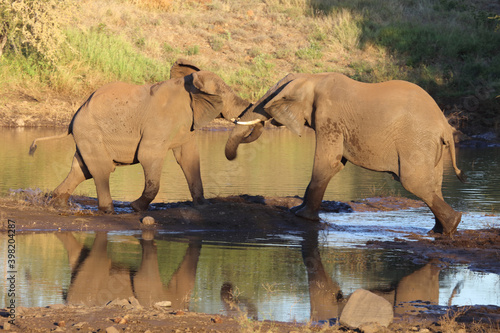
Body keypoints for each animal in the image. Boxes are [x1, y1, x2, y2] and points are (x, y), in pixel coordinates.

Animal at [28, 59, 250, 213]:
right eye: (225, 95)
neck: (189, 84)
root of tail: (74, 117)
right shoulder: (161, 122)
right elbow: (148, 155)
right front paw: (136, 208)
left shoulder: (187, 123)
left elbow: (188, 158)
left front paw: (202, 206)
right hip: (89, 131)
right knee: (101, 169)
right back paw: (108, 211)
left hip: (87, 135)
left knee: (82, 169)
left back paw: (57, 202)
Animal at [228, 72, 468, 236]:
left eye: (267, 101)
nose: (233, 158)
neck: (312, 78)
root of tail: (445, 126)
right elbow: (336, 164)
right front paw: (298, 209)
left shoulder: (329, 117)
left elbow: (327, 163)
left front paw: (301, 216)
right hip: (431, 146)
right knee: (433, 185)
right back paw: (439, 230)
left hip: (416, 141)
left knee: (413, 182)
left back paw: (452, 224)